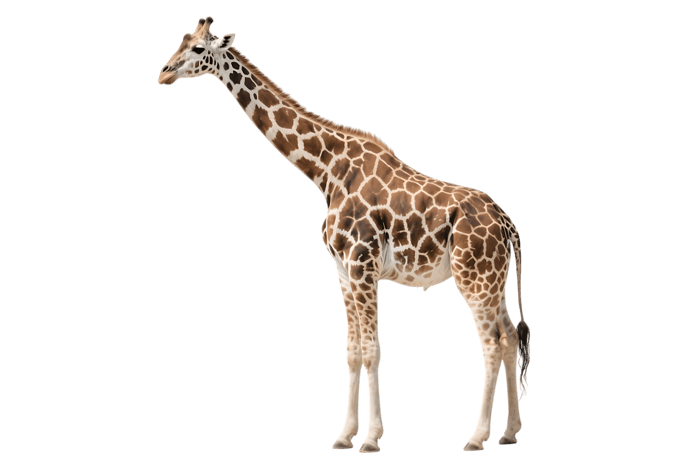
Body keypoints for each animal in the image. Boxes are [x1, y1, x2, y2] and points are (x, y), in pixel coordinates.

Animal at [158, 16, 531, 453]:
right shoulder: (342, 269)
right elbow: (352, 351)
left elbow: (372, 350)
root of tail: (508, 224)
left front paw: (371, 438)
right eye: (182, 42)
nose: (164, 73)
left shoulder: (361, 264)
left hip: (474, 278)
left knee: (493, 343)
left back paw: (478, 436)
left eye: (199, 50)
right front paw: (344, 435)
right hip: (494, 279)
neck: (326, 170)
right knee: (511, 337)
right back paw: (509, 432)